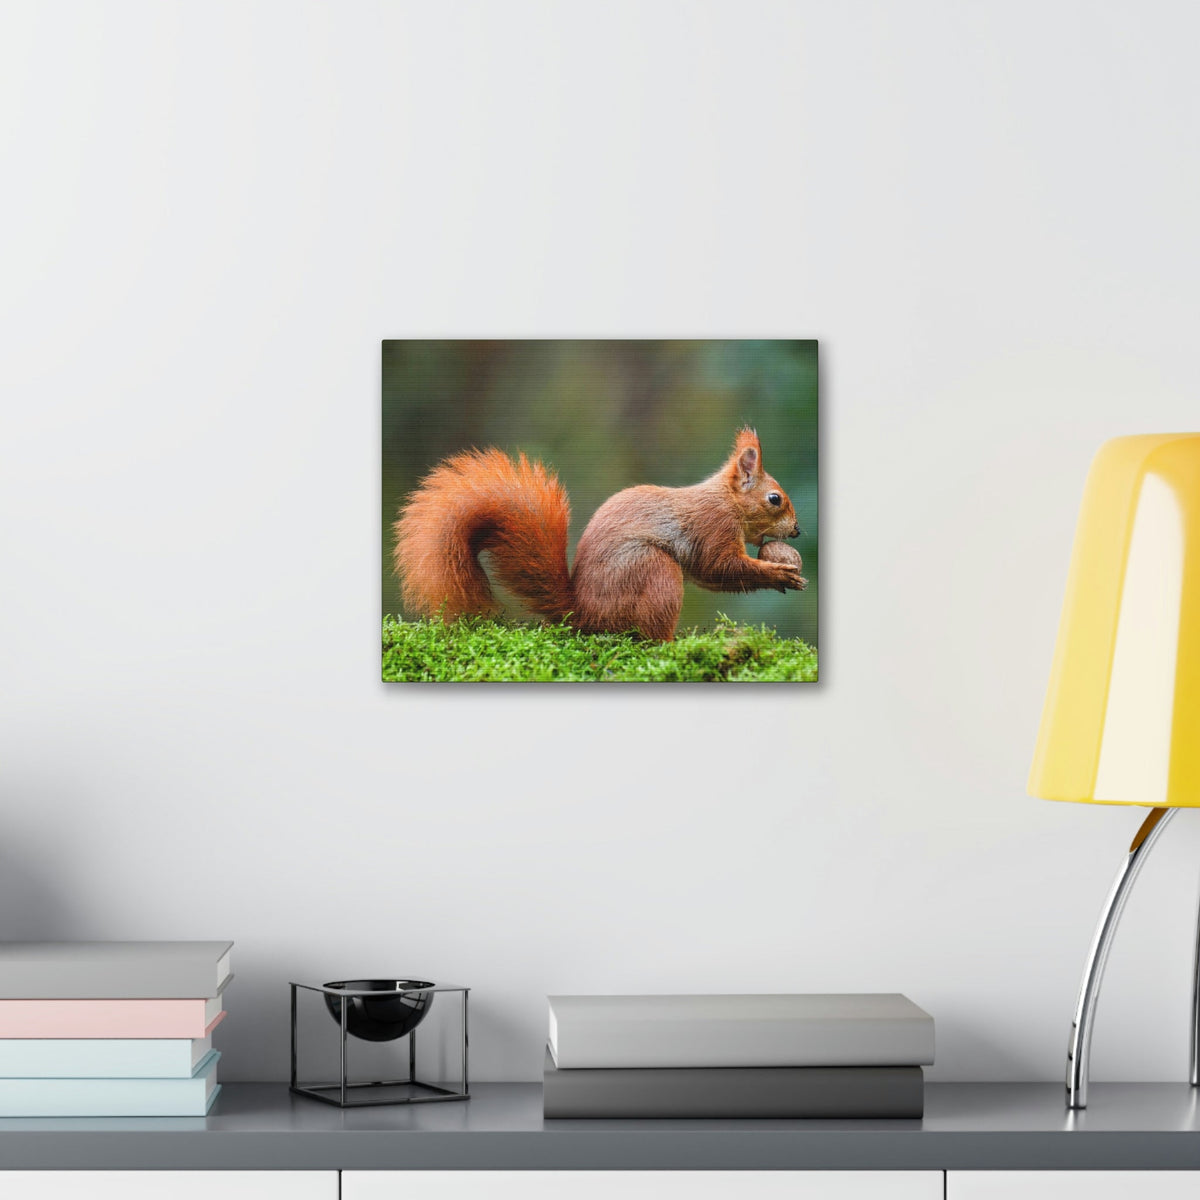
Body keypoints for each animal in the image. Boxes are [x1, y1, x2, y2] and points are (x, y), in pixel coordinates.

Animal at [392, 427, 805, 642]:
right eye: (774, 499)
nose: (798, 530)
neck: (726, 500)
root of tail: (583, 612)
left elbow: (713, 575)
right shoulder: (712, 526)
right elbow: (719, 567)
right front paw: (779, 574)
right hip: (653, 571)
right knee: (649, 632)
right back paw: (670, 644)